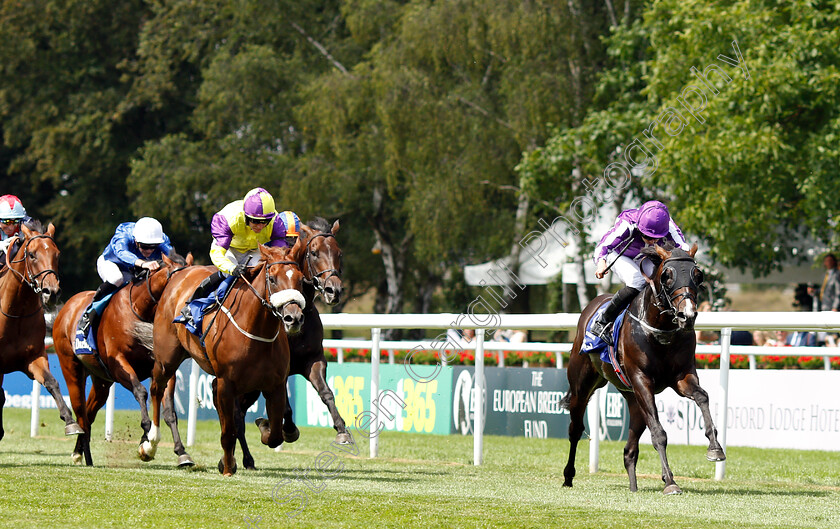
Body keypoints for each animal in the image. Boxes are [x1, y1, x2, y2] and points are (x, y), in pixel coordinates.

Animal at [0, 221, 82, 440]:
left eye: (57, 254)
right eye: (32, 254)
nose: (51, 292)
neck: (16, 314)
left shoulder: (34, 357)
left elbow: (52, 382)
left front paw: (70, 421)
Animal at [53, 252, 194, 462]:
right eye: (180, 282)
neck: (141, 310)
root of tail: (66, 307)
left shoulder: (164, 366)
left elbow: (170, 411)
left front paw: (182, 452)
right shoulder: (119, 364)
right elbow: (140, 392)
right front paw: (146, 436)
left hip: (101, 381)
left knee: (89, 413)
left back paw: (83, 454)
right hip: (71, 369)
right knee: (80, 412)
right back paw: (78, 450)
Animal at [144, 241, 306, 472]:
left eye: (300, 279)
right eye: (273, 279)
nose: (294, 318)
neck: (257, 331)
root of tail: (179, 273)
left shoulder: (275, 384)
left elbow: (275, 435)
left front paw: (264, 426)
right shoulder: (226, 382)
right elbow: (228, 431)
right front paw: (228, 467)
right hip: (166, 359)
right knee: (157, 390)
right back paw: (150, 445)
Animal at [233, 217, 348, 468]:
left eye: (339, 253)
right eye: (314, 253)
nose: (333, 290)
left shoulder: (313, 359)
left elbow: (326, 393)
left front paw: (342, 430)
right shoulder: (280, 371)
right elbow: (284, 405)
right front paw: (283, 429)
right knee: (235, 412)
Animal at [560, 244, 724, 496]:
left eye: (698, 275)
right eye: (667, 276)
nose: (687, 316)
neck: (659, 331)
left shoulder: (682, 377)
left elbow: (702, 397)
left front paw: (715, 447)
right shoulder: (641, 380)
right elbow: (658, 433)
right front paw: (670, 481)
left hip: (633, 400)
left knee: (629, 451)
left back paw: (633, 487)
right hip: (582, 386)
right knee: (575, 429)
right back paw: (568, 476)